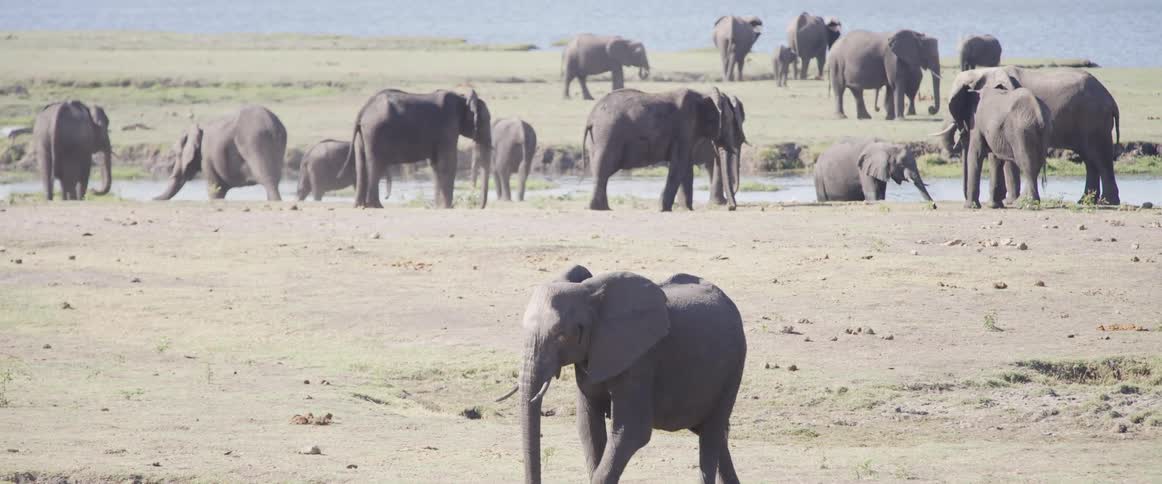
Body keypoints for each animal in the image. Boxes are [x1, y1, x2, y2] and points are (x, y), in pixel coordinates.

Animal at [154, 105, 286, 201]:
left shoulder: (206, 156)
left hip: (255, 143)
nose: (152, 198)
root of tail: (272, 125)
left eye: (176, 154)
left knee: (269, 182)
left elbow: (215, 188)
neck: (197, 127)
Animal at [345, 89, 492, 209]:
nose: (479, 207)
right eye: (487, 120)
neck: (462, 99)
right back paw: (376, 206)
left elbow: (436, 165)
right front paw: (447, 207)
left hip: (363, 134)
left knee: (361, 165)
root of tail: (363, 110)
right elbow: (447, 163)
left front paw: (438, 207)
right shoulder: (448, 127)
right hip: (375, 131)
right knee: (376, 164)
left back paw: (360, 206)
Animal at [499, 265, 746, 484]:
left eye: (560, 335)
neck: (588, 295)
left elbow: (632, 432)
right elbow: (588, 427)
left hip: (734, 366)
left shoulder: (641, 359)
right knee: (712, 434)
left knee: (711, 433)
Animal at [582, 88, 744, 211]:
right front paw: (664, 209)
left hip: (597, 139)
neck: (704, 95)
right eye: (729, 122)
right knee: (603, 170)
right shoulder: (684, 127)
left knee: (600, 171)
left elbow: (685, 166)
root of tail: (590, 118)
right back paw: (600, 209)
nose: (731, 207)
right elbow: (680, 164)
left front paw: (687, 209)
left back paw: (600, 208)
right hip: (606, 136)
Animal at [935, 66, 1121, 204]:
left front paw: (1009, 201)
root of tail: (1111, 99)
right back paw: (1086, 201)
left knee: (1101, 158)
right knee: (1090, 159)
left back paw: (1107, 202)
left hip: (1095, 120)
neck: (989, 70)